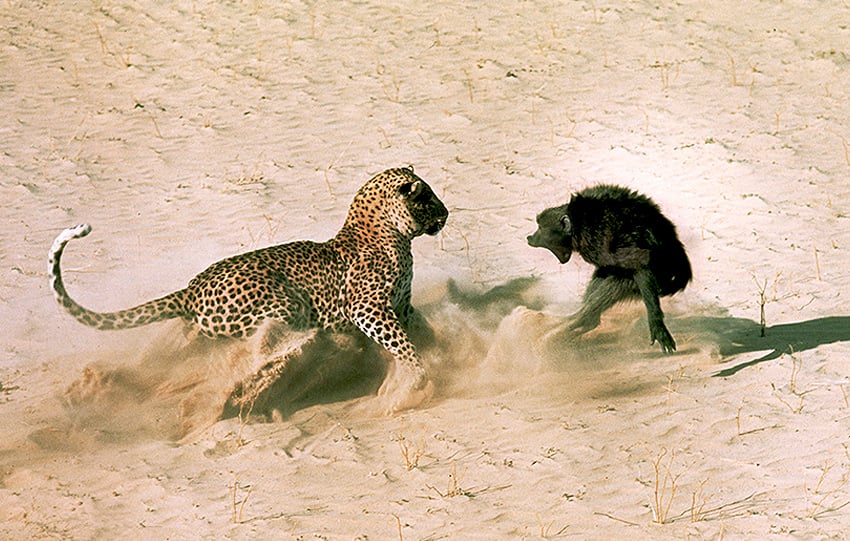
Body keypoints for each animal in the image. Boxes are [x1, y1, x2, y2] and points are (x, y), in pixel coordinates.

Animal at [48, 167, 448, 402]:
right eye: (427, 197)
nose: (446, 214)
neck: (394, 235)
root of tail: (190, 289)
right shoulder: (367, 307)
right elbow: (401, 343)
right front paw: (418, 373)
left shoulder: (402, 306)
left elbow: (419, 329)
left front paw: (442, 350)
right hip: (283, 305)